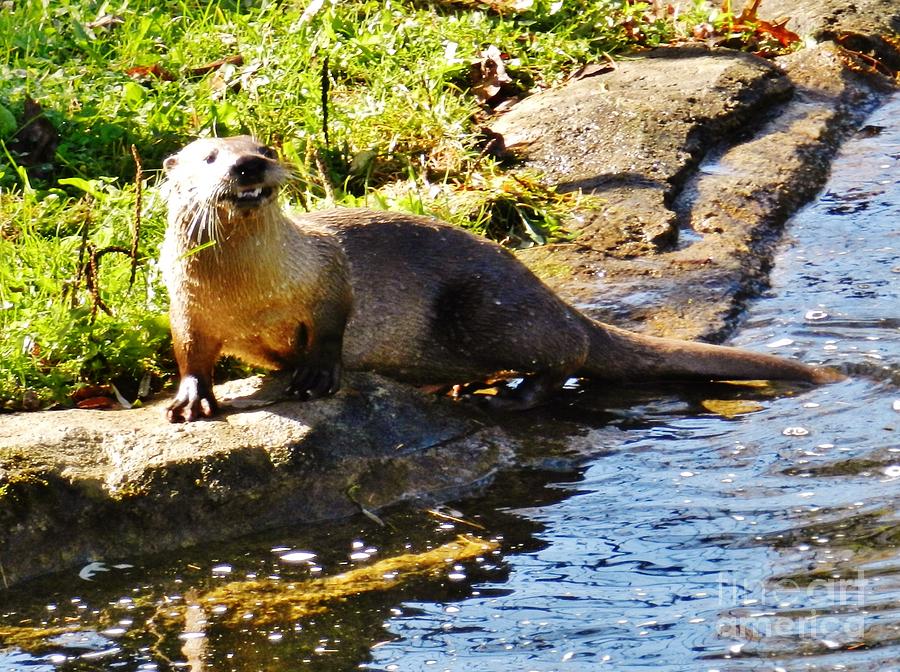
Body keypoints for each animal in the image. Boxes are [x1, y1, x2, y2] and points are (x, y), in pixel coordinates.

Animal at [158, 135, 840, 420]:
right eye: (210, 156)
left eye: (265, 151)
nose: (249, 166)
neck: (250, 291)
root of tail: (552, 295)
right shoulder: (185, 306)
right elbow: (190, 352)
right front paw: (191, 398)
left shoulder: (326, 271)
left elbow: (332, 325)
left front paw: (317, 375)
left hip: (486, 310)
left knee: (570, 352)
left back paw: (513, 395)